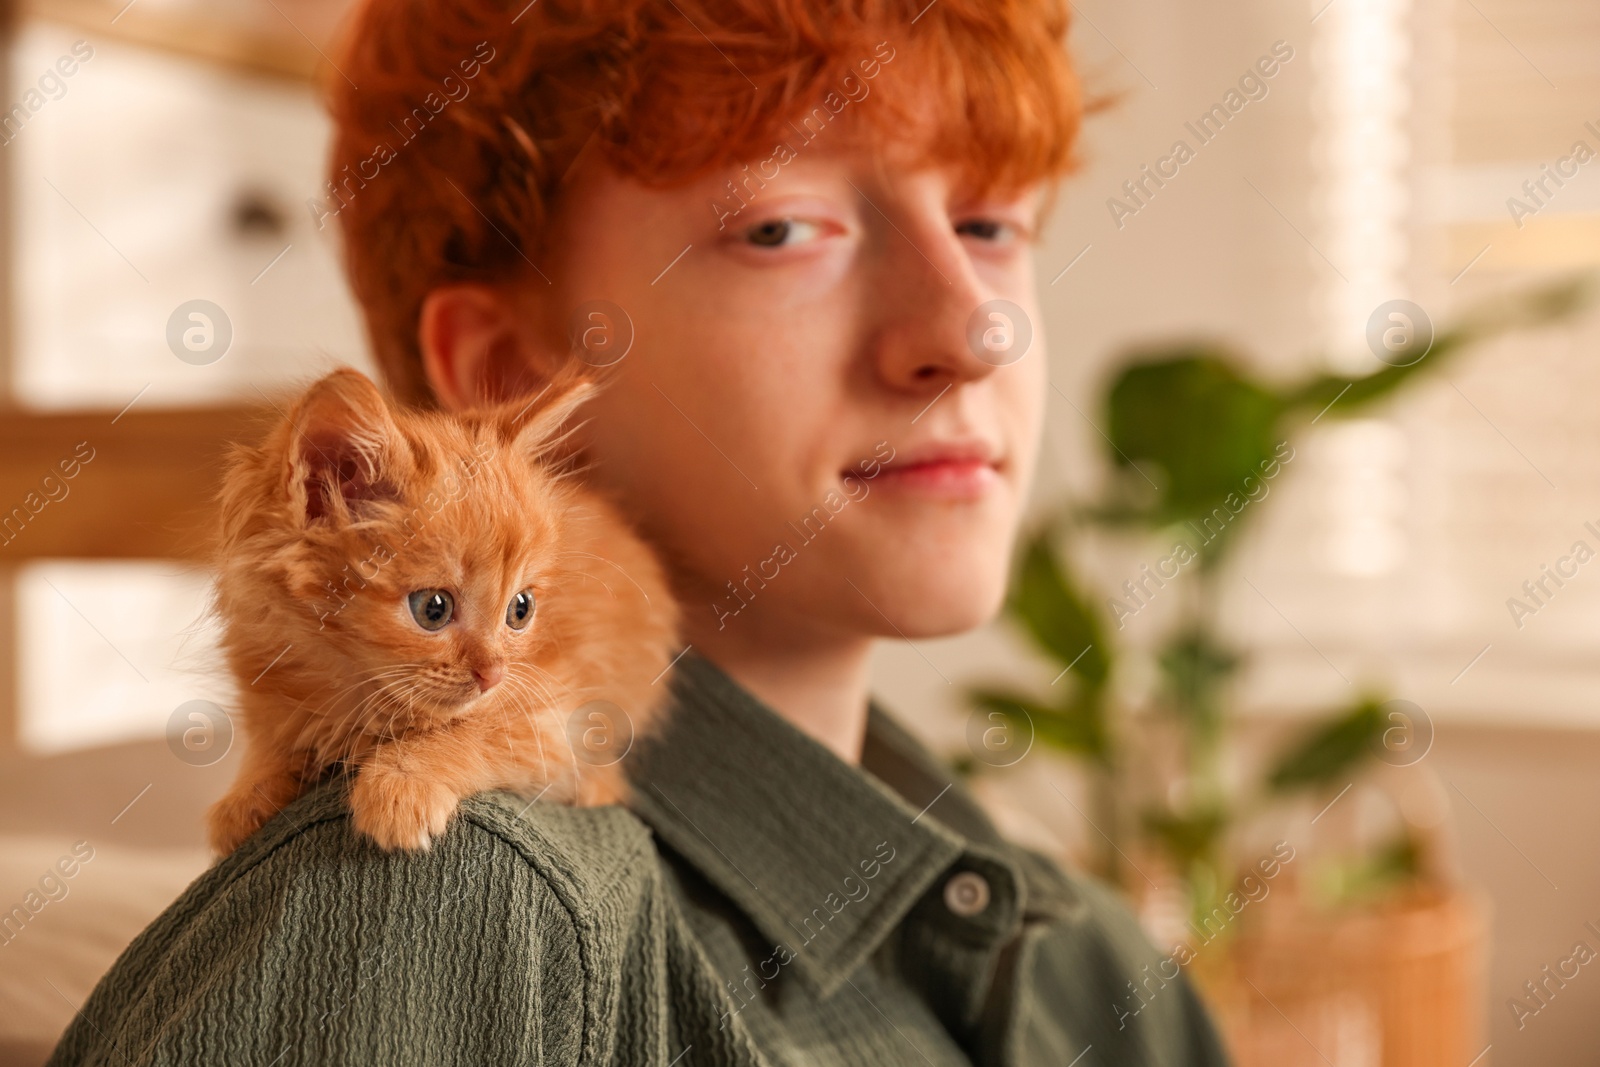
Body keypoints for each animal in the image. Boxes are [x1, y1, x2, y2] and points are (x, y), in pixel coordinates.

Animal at [204, 371, 675, 857]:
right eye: (434, 609)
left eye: (520, 610)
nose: (493, 674)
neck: (346, 685)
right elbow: (272, 739)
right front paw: (248, 793)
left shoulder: (549, 716)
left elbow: (469, 733)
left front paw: (402, 782)